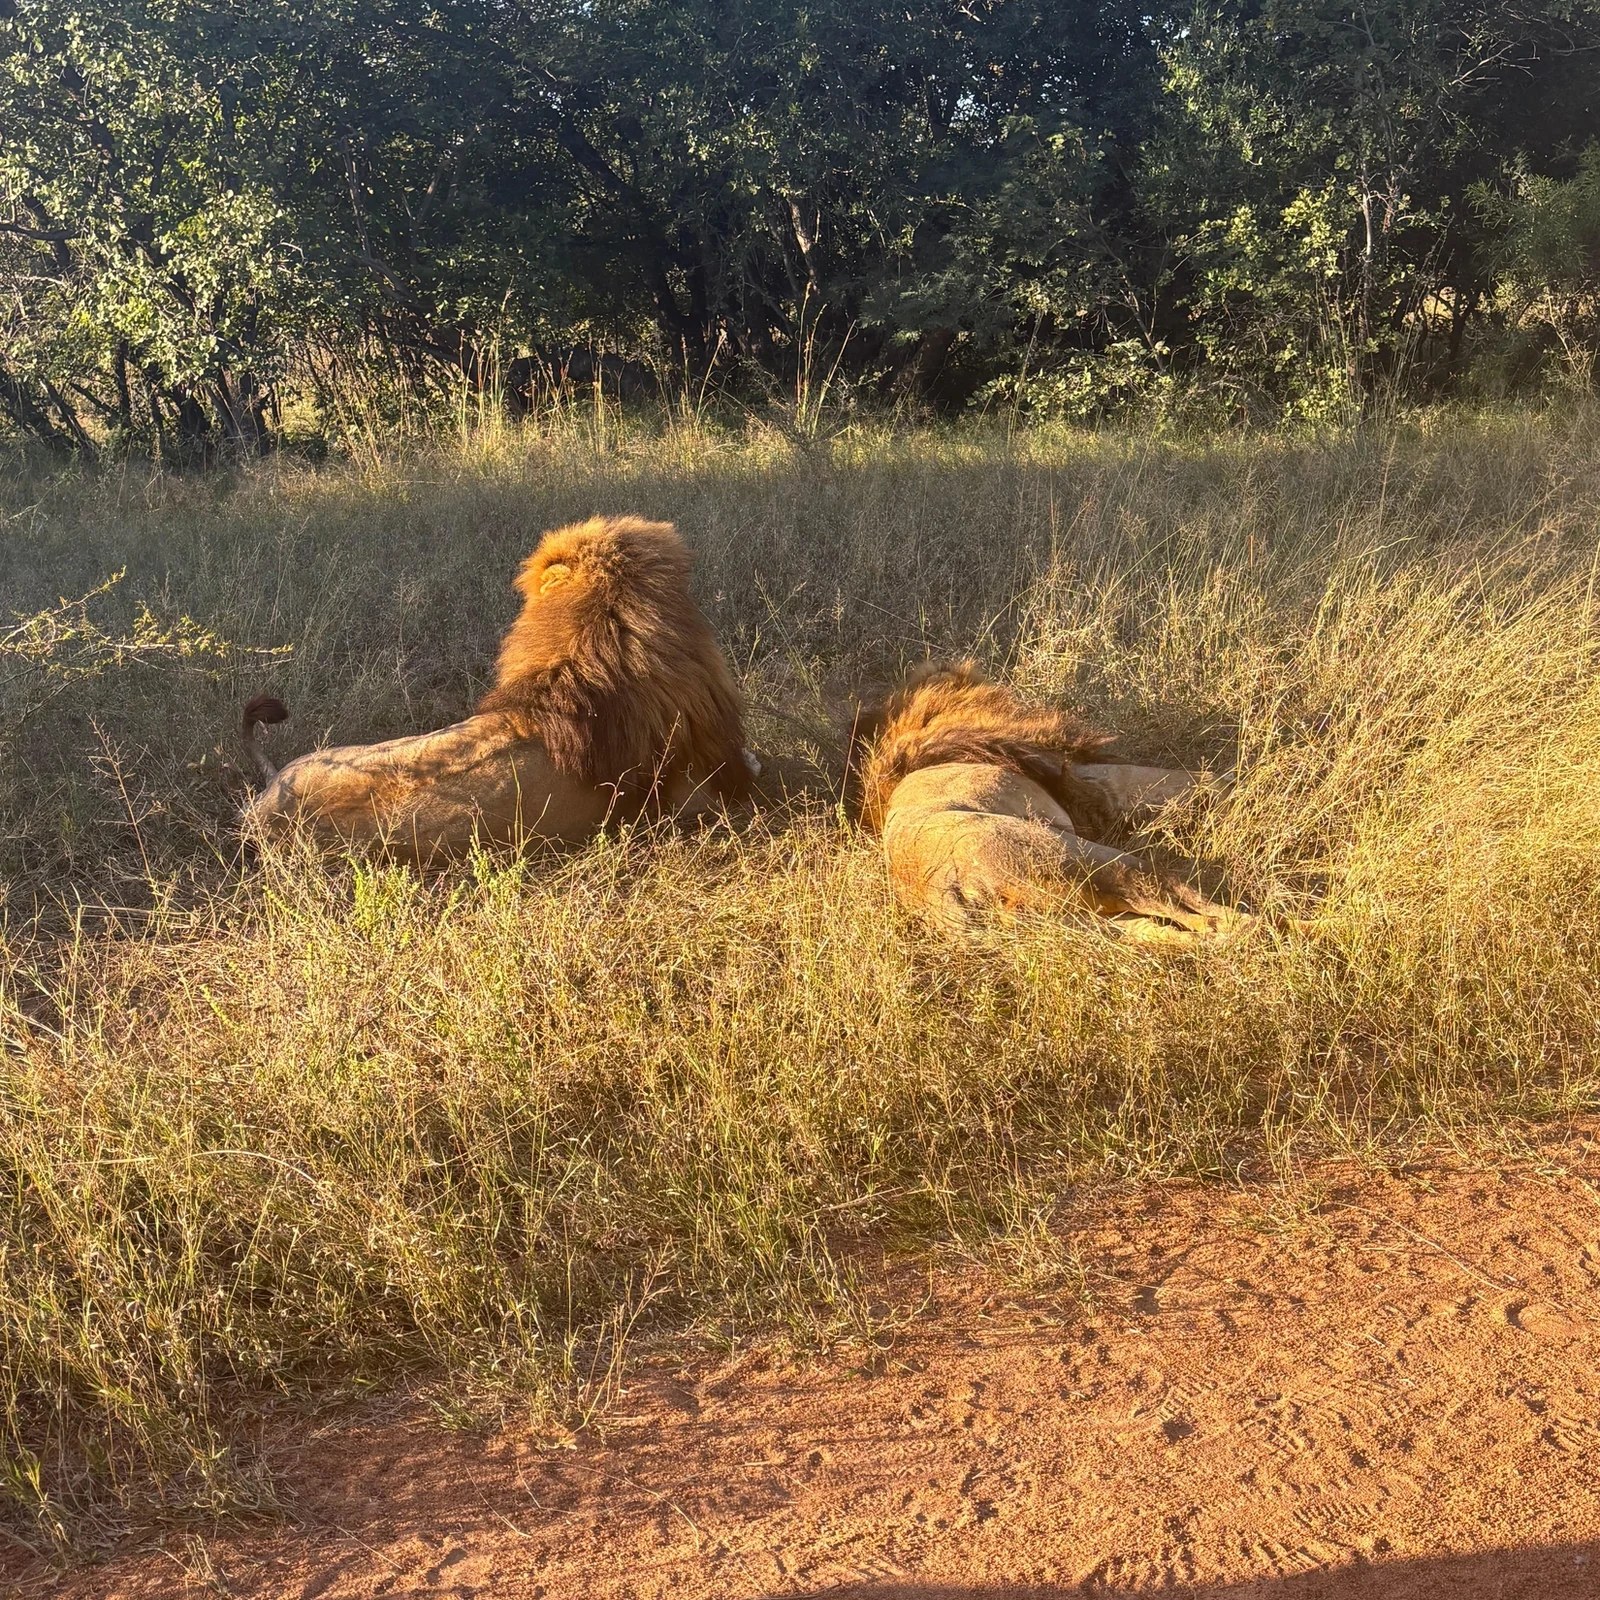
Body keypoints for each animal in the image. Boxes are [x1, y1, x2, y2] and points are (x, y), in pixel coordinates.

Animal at [854, 662, 1249, 943]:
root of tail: (947, 893)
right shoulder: (1088, 779)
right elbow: (1165, 780)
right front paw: (1232, 786)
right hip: (1082, 856)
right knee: (1177, 901)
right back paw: (1244, 922)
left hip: (1076, 921)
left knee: (1155, 930)